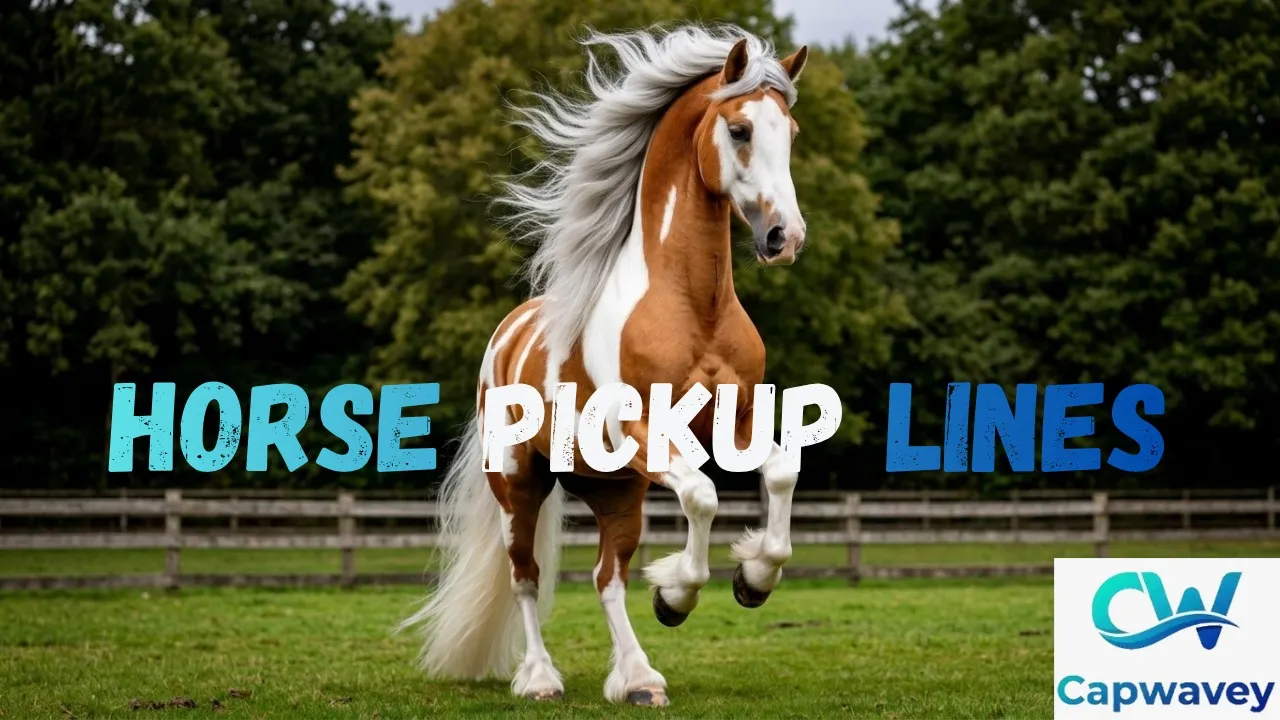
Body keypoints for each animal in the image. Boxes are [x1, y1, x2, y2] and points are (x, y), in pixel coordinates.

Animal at [400, 24, 810, 707]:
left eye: (793, 132)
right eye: (740, 130)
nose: (785, 237)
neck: (691, 307)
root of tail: (507, 334)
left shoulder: (738, 420)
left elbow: (780, 474)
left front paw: (752, 579)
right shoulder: (642, 431)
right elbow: (701, 496)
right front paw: (675, 594)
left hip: (615, 490)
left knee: (605, 576)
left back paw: (639, 679)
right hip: (519, 483)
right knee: (526, 575)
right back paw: (541, 679)